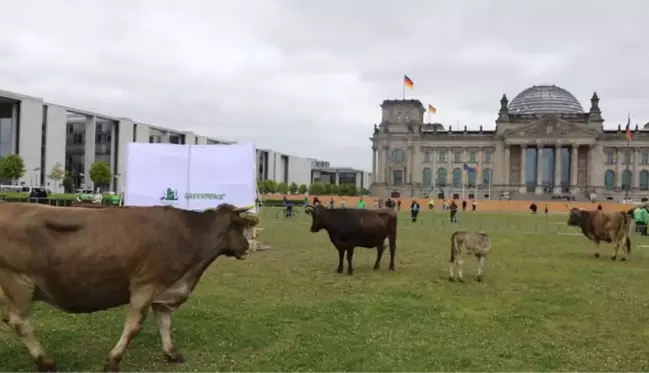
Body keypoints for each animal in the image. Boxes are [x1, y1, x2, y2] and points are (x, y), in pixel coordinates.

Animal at [0, 202, 258, 372]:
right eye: (239, 227)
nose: (247, 248)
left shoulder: (165, 291)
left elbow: (165, 323)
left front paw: (172, 353)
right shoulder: (145, 284)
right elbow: (134, 326)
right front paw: (113, 361)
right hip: (18, 281)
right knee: (20, 322)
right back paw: (46, 362)